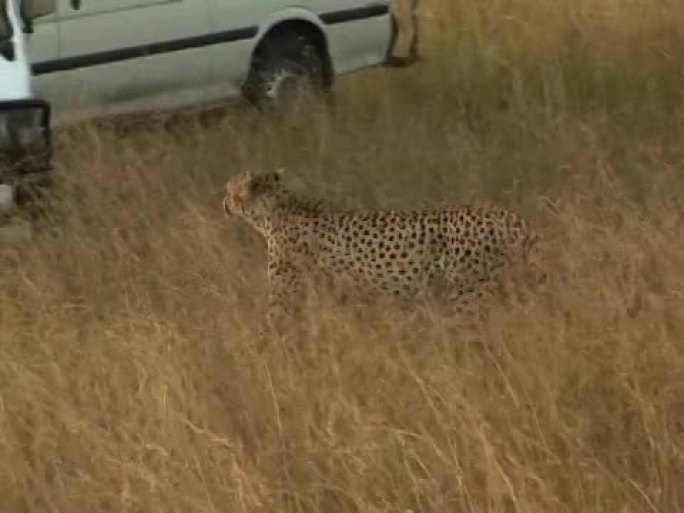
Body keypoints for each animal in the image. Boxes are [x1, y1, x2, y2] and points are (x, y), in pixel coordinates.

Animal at [222, 170, 548, 326]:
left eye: (229, 189)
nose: (223, 202)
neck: (274, 209)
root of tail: (512, 216)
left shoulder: (285, 299)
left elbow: (273, 326)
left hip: (468, 298)